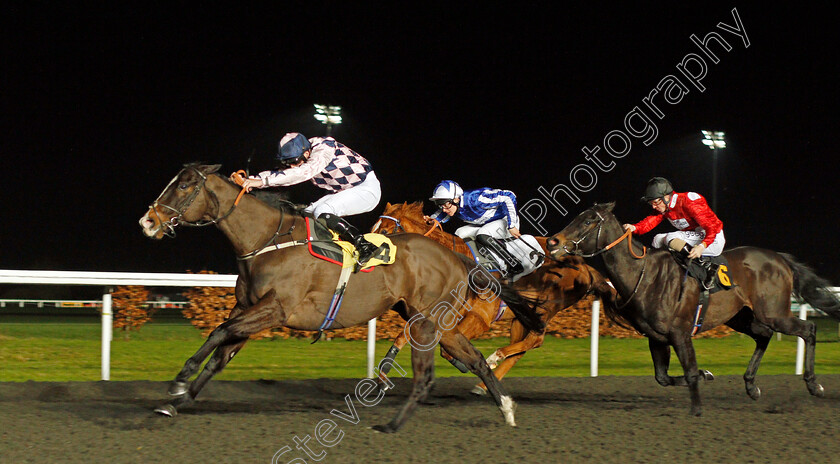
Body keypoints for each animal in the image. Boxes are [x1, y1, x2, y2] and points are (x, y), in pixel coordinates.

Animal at [138, 163, 544, 432]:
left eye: (184, 185)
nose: (148, 221)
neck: (268, 240)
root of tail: (460, 257)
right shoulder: (249, 308)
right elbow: (220, 356)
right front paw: (177, 403)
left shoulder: (274, 309)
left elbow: (218, 333)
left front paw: (178, 381)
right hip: (436, 323)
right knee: (474, 359)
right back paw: (505, 408)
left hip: (425, 323)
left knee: (427, 375)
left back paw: (392, 425)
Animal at [370, 201, 612, 394]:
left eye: (385, 230)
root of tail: (584, 266)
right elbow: (402, 338)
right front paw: (382, 379)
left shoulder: (480, 319)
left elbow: (445, 349)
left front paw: (465, 363)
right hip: (519, 318)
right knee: (520, 349)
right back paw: (484, 384)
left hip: (543, 310)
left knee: (536, 340)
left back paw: (494, 359)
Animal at [544, 201, 840, 416]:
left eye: (588, 221)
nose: (553, 242)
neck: (643, 273)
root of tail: (781, 259)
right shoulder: (656, 337)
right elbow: (663, 377)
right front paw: (706, 374)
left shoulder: (680, 333)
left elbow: (688, 370)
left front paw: (696, 408)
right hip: (740, 317)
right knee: (763, 336)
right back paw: (751, 385)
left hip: (774, 312)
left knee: (808, 329)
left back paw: (814, 384)